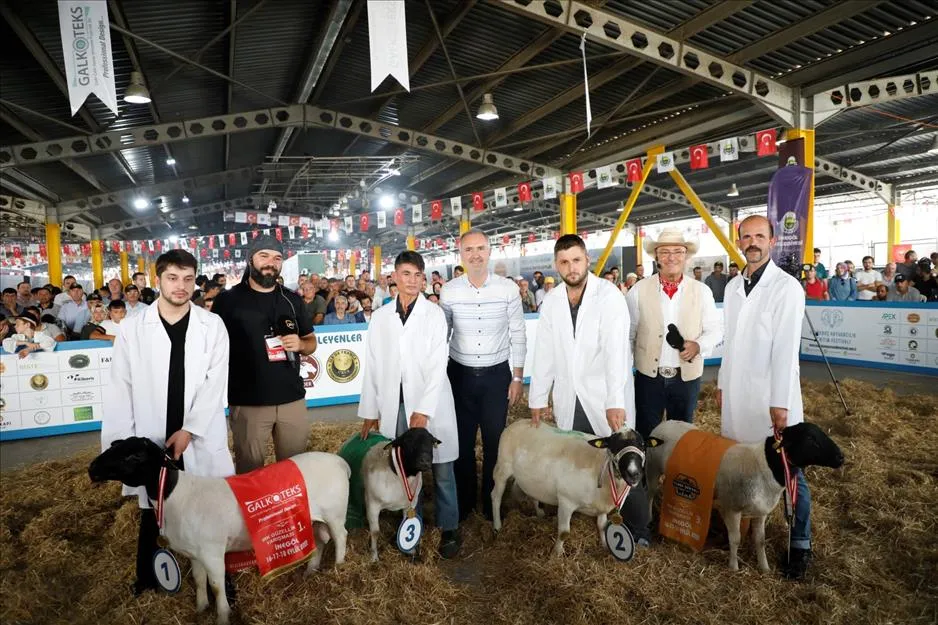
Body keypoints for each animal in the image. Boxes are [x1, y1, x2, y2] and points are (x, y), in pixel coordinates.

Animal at [91, 436, 350, 624]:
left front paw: (222, 616)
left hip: (335, 512)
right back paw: (310, 571)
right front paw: (200, 608)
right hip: (312, 518)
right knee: (320, 540)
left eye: (133, 455)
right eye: (115, 446)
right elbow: (198, 580)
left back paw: (338, 568)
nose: (92, 468)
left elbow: (216, 587)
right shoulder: (195, 553)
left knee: (340, 536)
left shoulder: (212, 552)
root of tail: (340, 462)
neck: (174, 494)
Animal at [362, 426, 442, 560]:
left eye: (431, 442)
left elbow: (406, 522)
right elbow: (375, 532)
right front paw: (374, 557)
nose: (425, 461)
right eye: (408, 441)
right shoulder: (372, 504)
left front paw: (409, 551)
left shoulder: (410, 504)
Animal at [490, 420, 644, 556]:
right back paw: (497, 526)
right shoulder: (566, 501)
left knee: (532, 494)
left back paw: (540, 514)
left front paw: (605, 545)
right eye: (614, 445)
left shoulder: (601, 506)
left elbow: (602, 526)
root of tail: (518, 422)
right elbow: (564, 532)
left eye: (642, 445)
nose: (633, 473)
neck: (601, 468)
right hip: (503, 467)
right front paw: (557, 553)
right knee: (496, 496)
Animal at [644, 416, 840, 572]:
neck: (765, 466)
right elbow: (736, 539)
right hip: (652, 469)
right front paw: (733, 567)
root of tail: (665, 422)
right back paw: (649, 519)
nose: (841, 457)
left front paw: (764, 568)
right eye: (810, 438)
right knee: (649, 494)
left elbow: (760, 540)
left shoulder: (761, 512)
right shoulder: (732, 508)